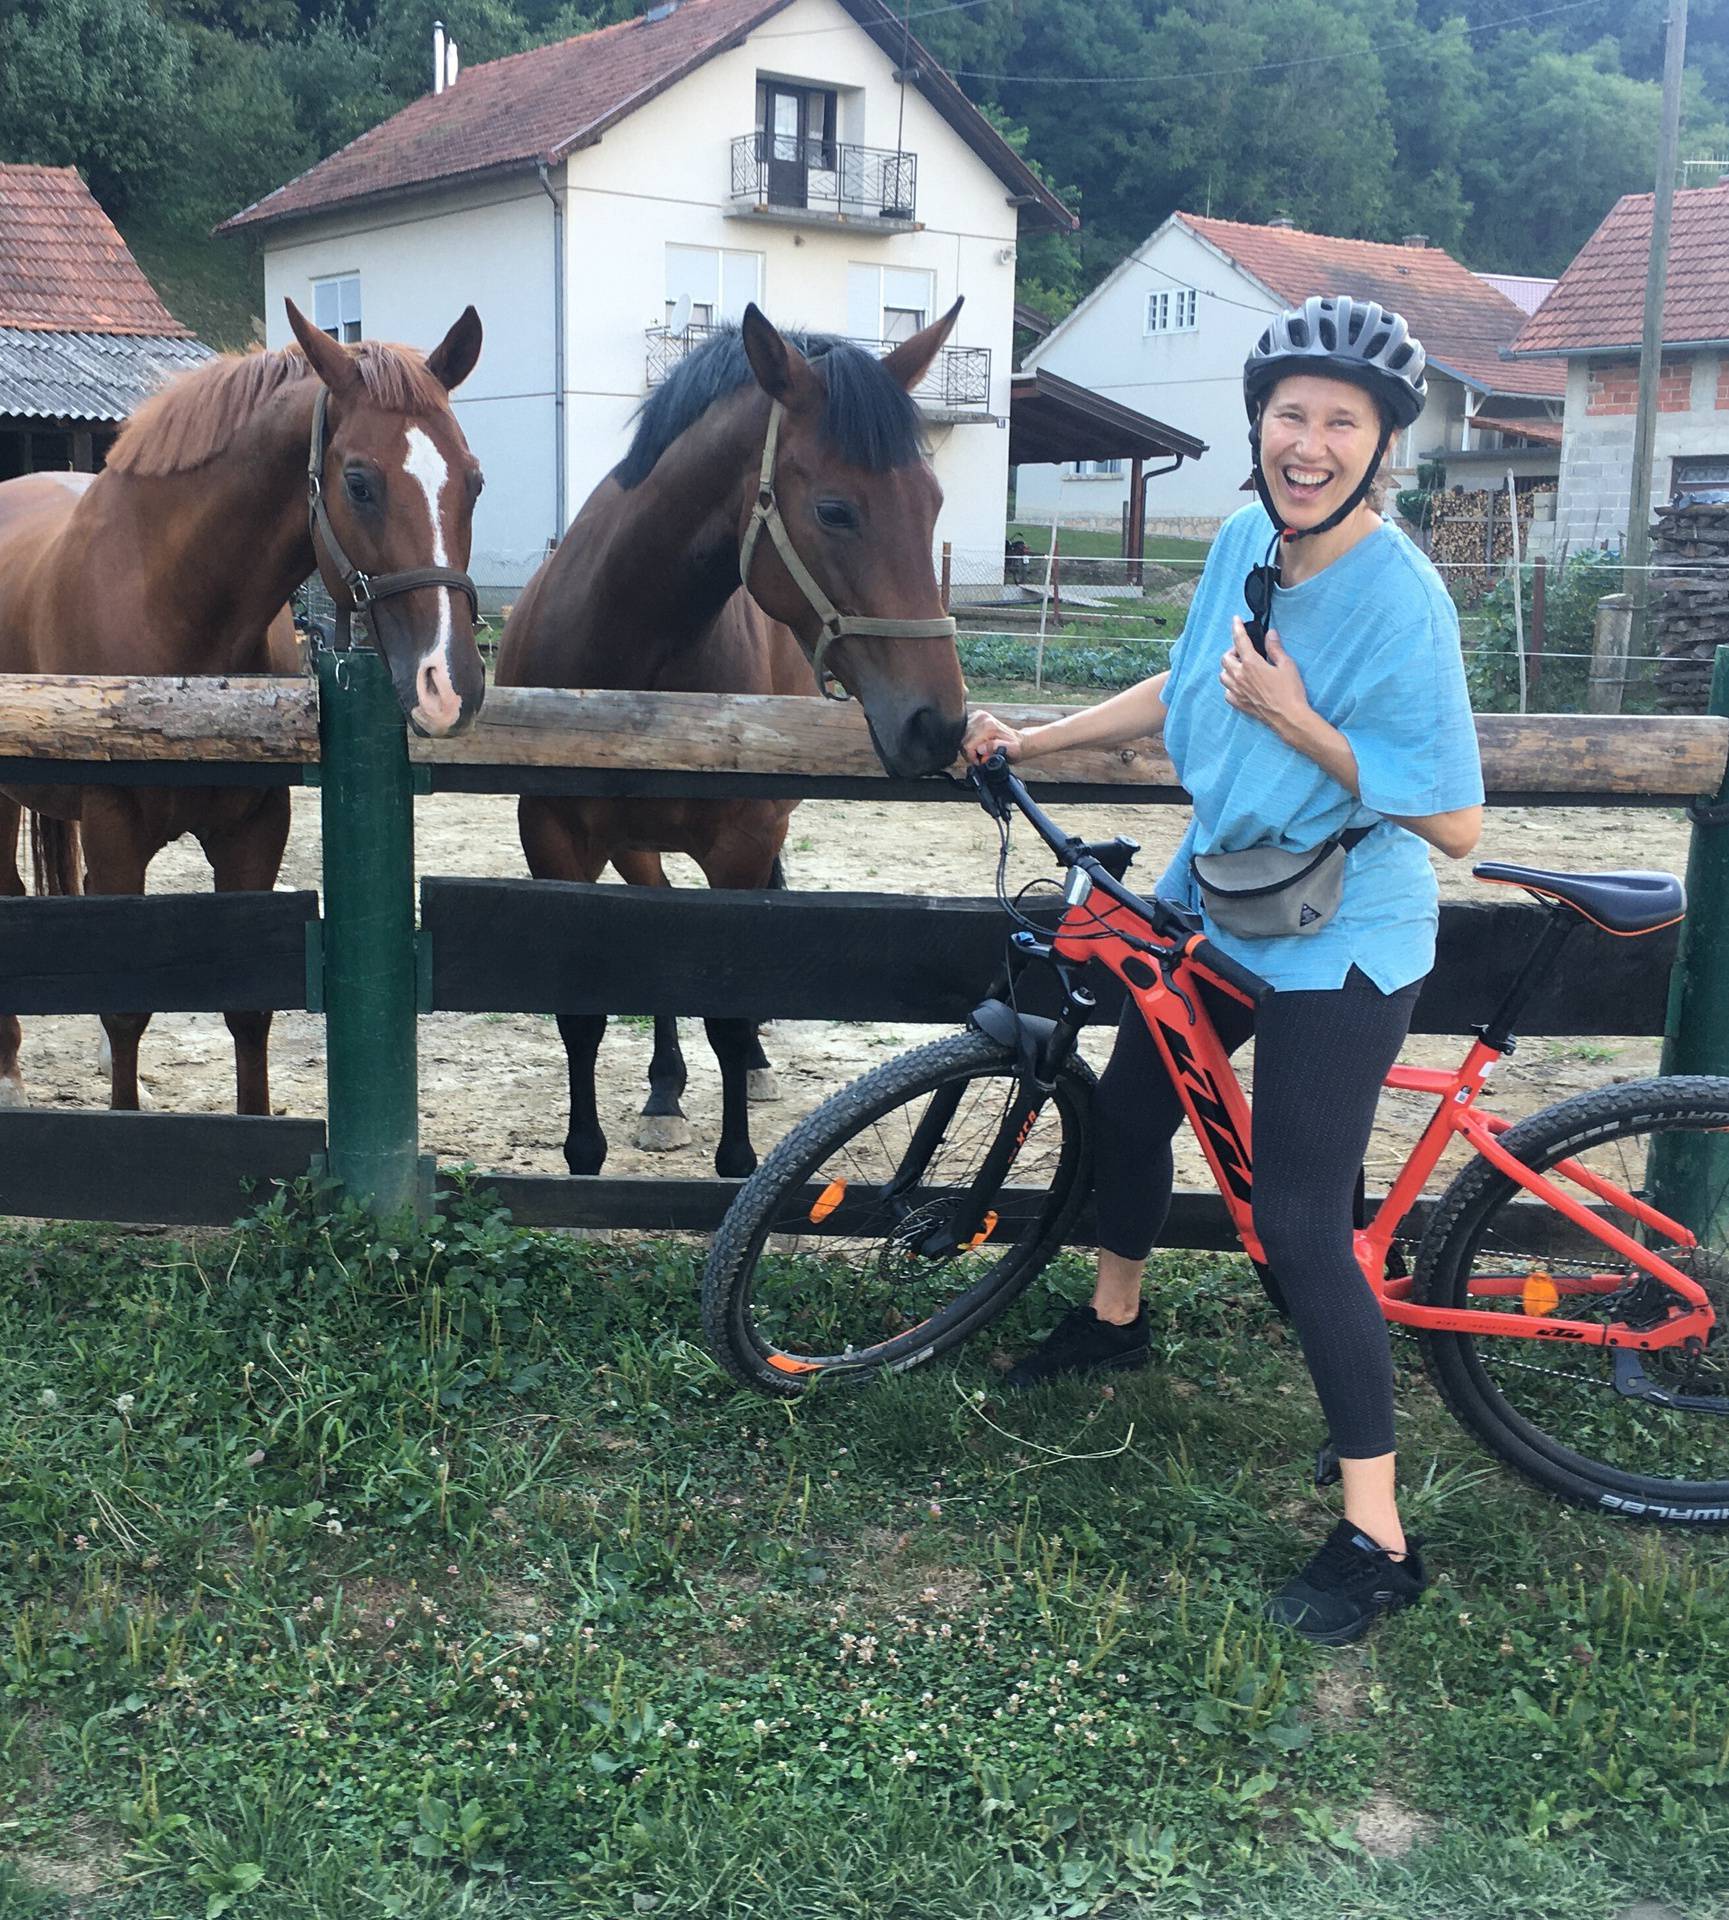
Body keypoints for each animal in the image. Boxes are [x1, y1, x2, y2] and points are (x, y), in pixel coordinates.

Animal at [1, 299, 485, 1113]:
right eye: (359, 483)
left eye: (474, 482)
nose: (450, 685)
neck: (173, 611)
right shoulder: (114, 828)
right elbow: (127, 1008)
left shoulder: (253, 830)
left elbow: (249, 1008)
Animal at [498, 301, 971, 1175]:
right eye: (834, 510)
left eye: (931, 502)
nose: (939, 724)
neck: (628, 657)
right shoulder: (552, 835)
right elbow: (585, 1009)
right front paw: (587, 1151)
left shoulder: (744, 841)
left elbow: (727, 995)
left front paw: (739, 1154)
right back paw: (663, 1089)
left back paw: (747, 1064)